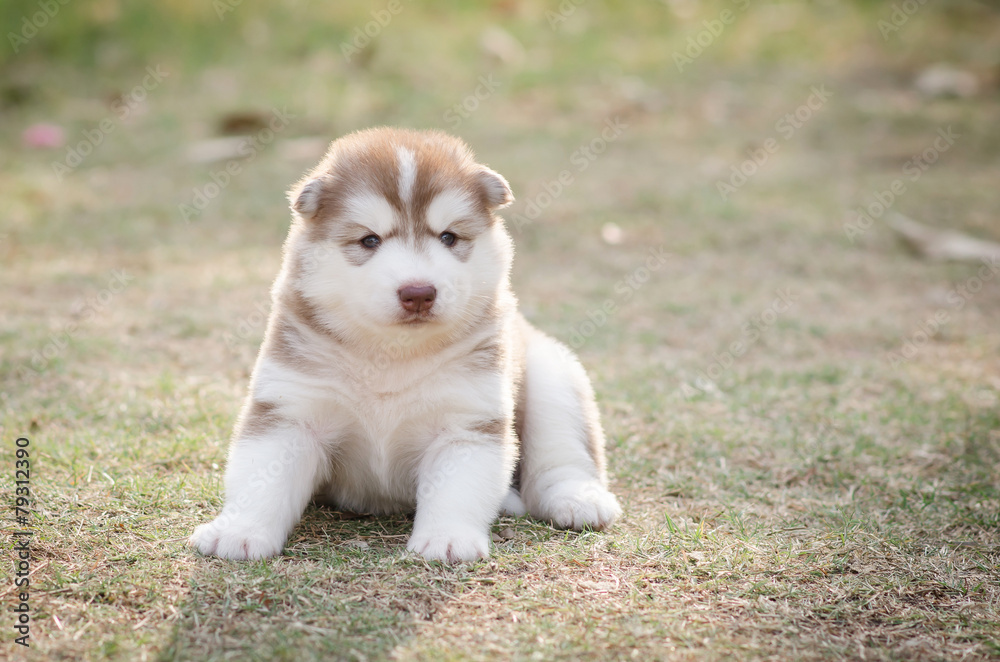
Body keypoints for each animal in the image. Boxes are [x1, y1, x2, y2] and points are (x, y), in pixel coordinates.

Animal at [189, 127, 616, 564]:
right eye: (369, 240)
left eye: (448, 237)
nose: (418, 293)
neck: (391, 356)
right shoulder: (291, 411)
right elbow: (262, 478)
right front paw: (240, 531)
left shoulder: (466, 421)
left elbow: (458, 489)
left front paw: (448, 537)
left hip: (554, 374)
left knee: (562, 454)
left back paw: (577, 499)